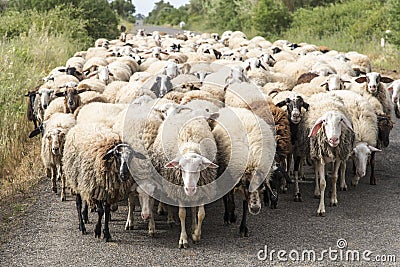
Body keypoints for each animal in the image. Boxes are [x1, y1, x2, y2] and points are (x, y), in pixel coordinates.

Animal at [212, 107, 276, 237]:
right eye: (246, 185)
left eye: (262, 185)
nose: (255, 208)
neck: (252, 160)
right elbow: (229, 199)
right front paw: (230, 216)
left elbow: (245, 205)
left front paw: (243, 228)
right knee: (226, 196)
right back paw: (228, 216)